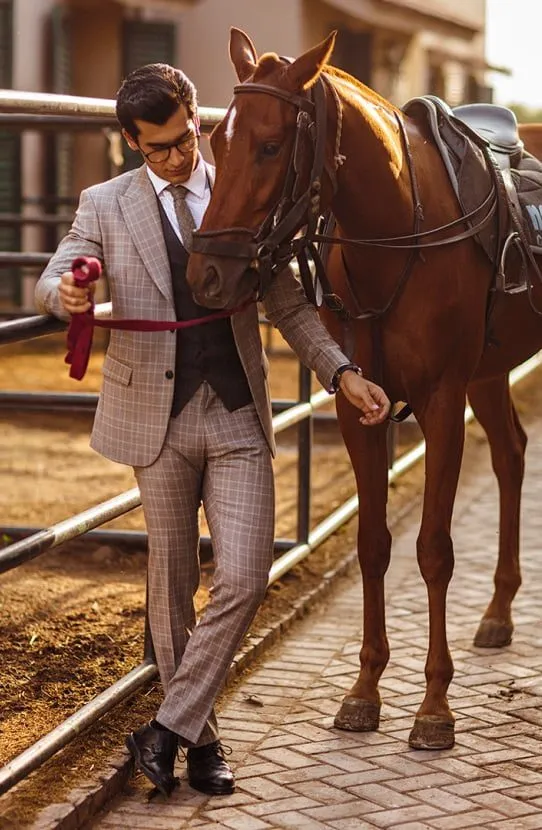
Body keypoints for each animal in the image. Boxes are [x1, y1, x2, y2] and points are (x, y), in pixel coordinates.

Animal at [187, 29, 542, 752]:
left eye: (271, 146)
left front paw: (434, 706)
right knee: (512, 455)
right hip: (489, 374)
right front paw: (365, 690)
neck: (402, 234)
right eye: (217, 141)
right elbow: (373, 546)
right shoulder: (361, 408)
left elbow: (433, 550)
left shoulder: (441, 404)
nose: (207, 273)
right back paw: (497, 611)